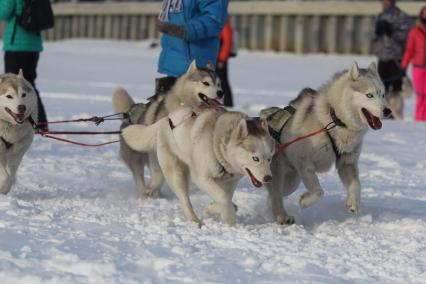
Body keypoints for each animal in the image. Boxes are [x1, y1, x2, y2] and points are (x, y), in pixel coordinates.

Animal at [112, 60, 223, 197]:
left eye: (218, 84)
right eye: (206, 83)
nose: (220, 92)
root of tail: (130, 112)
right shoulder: (156, 151)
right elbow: (158, 174)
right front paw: (151, 188)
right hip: (136, 156)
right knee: (138, 176)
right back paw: (144, 192)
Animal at [120, 106, 272, 226]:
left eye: (269, 158)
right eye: (255, 158)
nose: (268, 178)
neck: (216, 141)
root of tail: (165, 119)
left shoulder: (230, 181)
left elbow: (225, 197)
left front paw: (215, 208)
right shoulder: (202, 178)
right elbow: (223, 196)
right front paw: (230, 219)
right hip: (177, 175)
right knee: (185, 200)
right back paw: (195, 220)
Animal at [262, 62, 392, 224]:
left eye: (383, 95)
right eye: (369, 95)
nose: (388, 111)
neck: (335, 119)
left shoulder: (347, 163)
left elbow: (356, 184)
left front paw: (353, 202)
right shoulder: (305, 165)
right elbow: (318, 192)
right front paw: (304, 201)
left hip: (292, 181)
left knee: (274, 195)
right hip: (280, 175)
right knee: (276, 195)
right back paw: (282, 217)